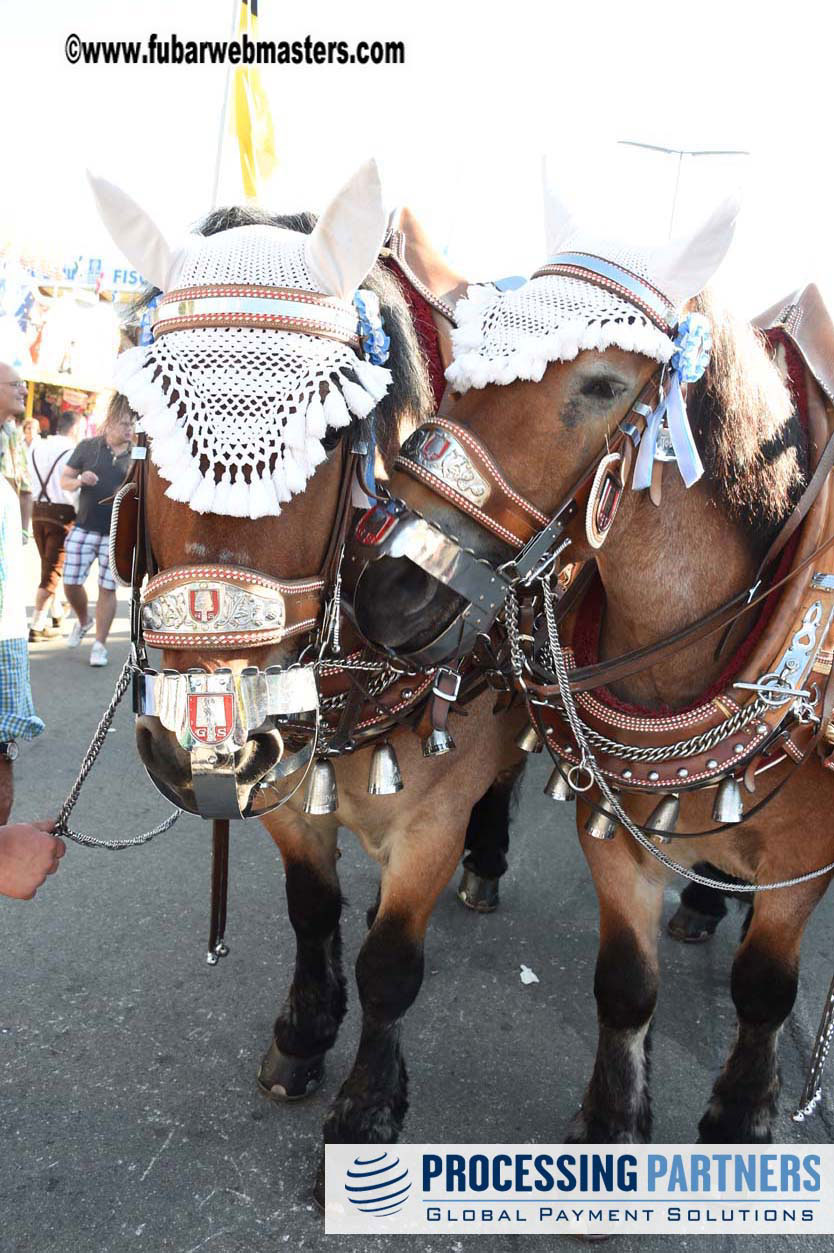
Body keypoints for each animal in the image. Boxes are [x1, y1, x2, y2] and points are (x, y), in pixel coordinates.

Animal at [93, 171, 523, 1197]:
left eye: (331, 437)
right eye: (144, 427)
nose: (202, 741)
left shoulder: (429, 813)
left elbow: (393, 963)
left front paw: (369, 1101)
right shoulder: (285, 783)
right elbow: (311, 908)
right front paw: (302, 1034)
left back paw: (487, 864)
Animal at [358, 230, 834, 1142]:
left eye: (604, 384)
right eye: (459, 367)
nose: (391, 587)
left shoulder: (803, 861)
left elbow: (764, 989)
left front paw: (741, 1114)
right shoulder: (609, 823)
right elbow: (624, 983)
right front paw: (613, 1119)